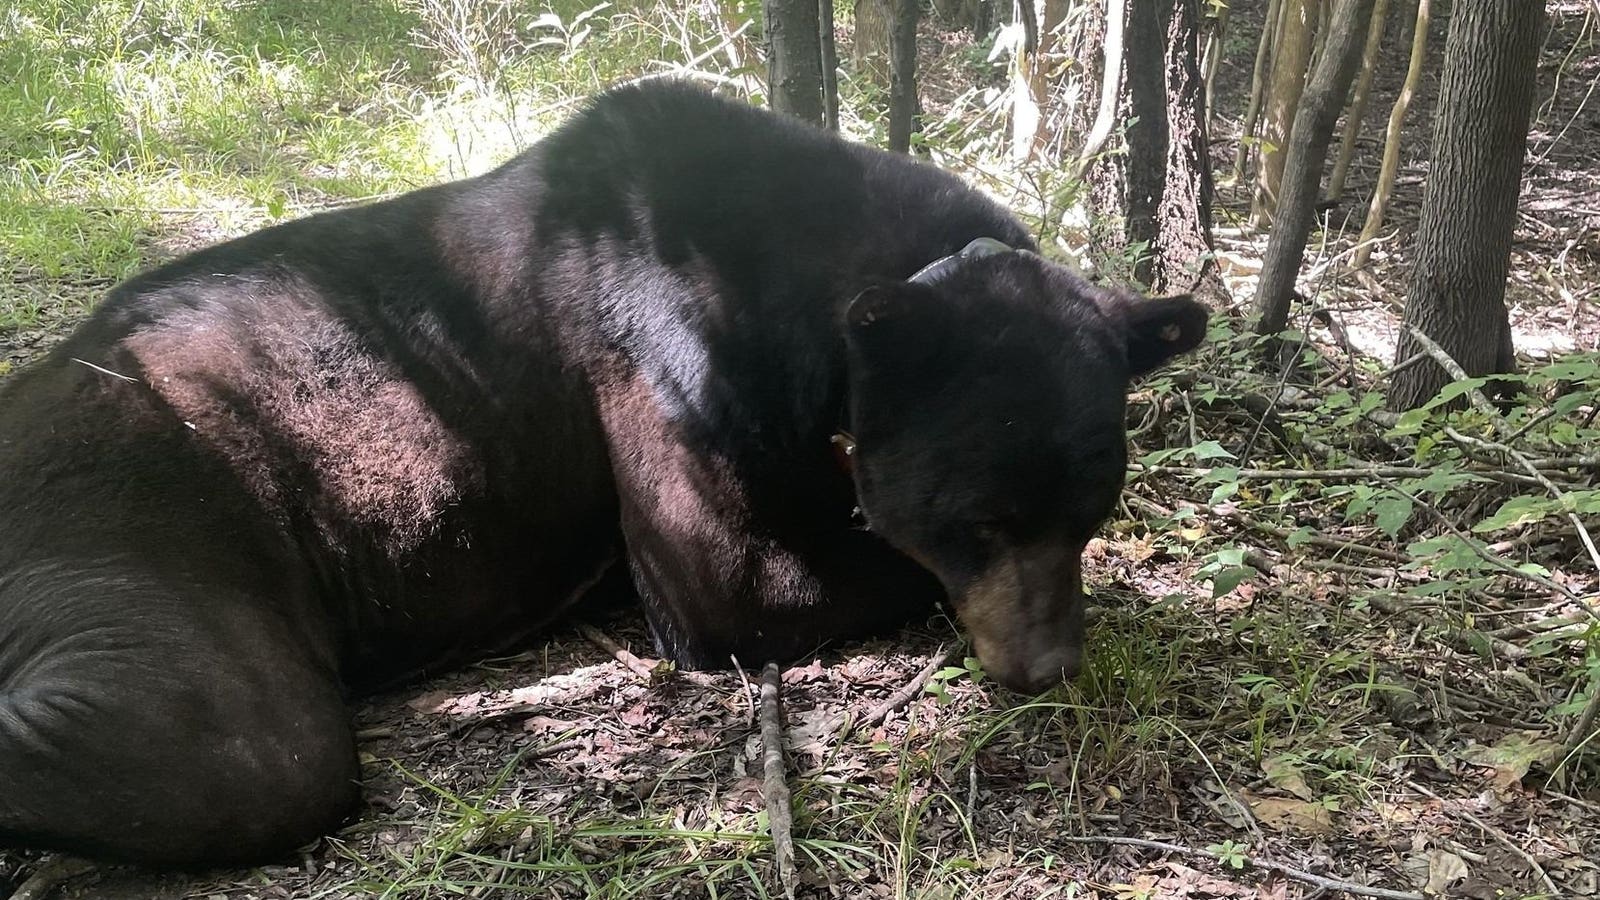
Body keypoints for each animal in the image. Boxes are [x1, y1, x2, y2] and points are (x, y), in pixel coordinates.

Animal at [0, 82, 1203, 864]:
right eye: (979, 521)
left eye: (1086, 511)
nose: (1048, 666)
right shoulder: (665, 375)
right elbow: (748, 582)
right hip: (136, 508)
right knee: (244, 742)